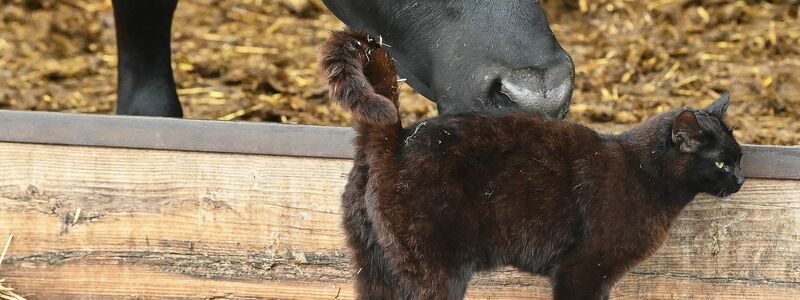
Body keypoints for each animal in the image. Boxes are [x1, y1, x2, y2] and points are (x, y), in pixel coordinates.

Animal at [322, 31, 748, 300]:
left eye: (740, 157)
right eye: (722, 162)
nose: (742, 179)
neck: (643, 174)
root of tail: (397, 139)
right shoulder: (583, 271)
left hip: (372, 268)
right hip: (434, 268)